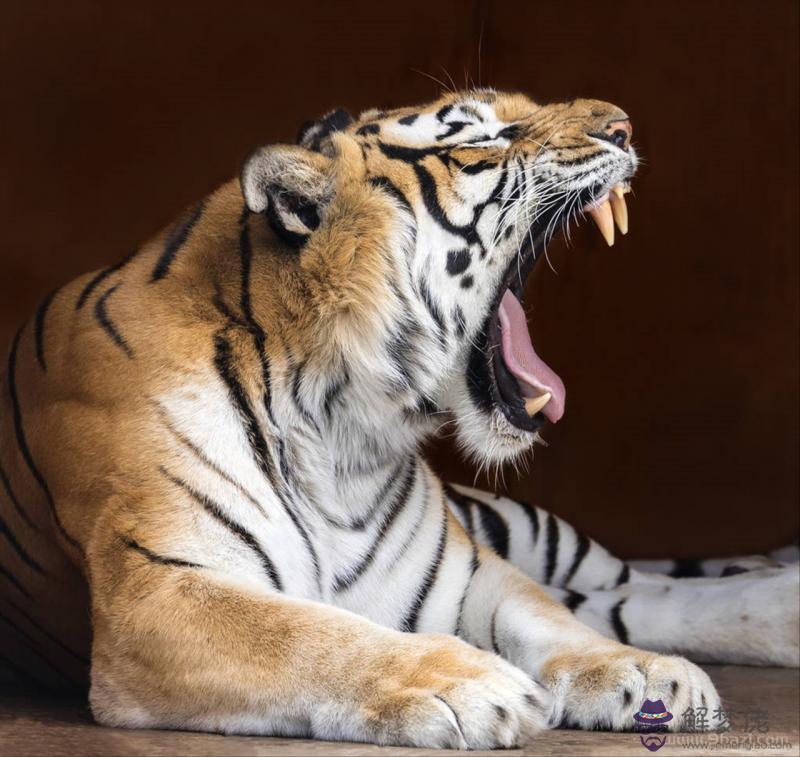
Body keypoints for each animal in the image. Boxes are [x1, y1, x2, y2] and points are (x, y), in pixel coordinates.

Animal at [0, 87, 796, 744]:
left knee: (623, 585)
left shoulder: (466, 569)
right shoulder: (159, 586)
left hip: (526, 525)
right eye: (483, 133)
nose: (623, 126)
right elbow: (310, 635)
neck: (342, 431)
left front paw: (646, 671)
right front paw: (469, 683)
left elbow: (551, 616)